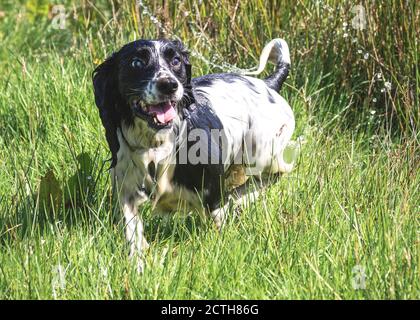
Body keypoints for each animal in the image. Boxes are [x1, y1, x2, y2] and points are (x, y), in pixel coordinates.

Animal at [92, 38, 296, 270]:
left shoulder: (213, 192)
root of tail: (268, 84)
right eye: (136, 62)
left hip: (261, 153)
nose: (169, 85)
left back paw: (238, 196)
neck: (157, 145)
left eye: (176, 61)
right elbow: (132, 231)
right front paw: (138, 265)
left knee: (276, 172)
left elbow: (218, 217)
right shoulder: (127, 192)